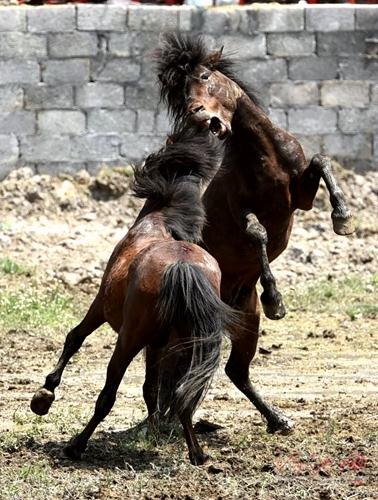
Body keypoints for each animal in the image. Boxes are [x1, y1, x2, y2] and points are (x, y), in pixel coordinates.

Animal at [31, 129, 239, 464]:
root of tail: (182, 265)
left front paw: (45, 394)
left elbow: (74, 338)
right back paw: (197, 453)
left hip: (128, 340)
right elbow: (150, 389)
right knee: (182, 395)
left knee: (107, 396)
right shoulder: (157, 346)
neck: (159, 220)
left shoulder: (99, 307)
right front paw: (152, 434)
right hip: (185, 344)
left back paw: (76, 445)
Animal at [154, 34, 354, 434]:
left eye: (204, 76)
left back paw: (278, 420)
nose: (199, 115)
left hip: (246, 321)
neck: (265, 153)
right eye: (182, 94)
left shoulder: (301, 196)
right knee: (195, 369)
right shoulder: (240, 208)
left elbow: (322, 161)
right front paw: (275, 298)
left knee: (235, 371)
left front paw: (343, 218)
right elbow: (257, 232)